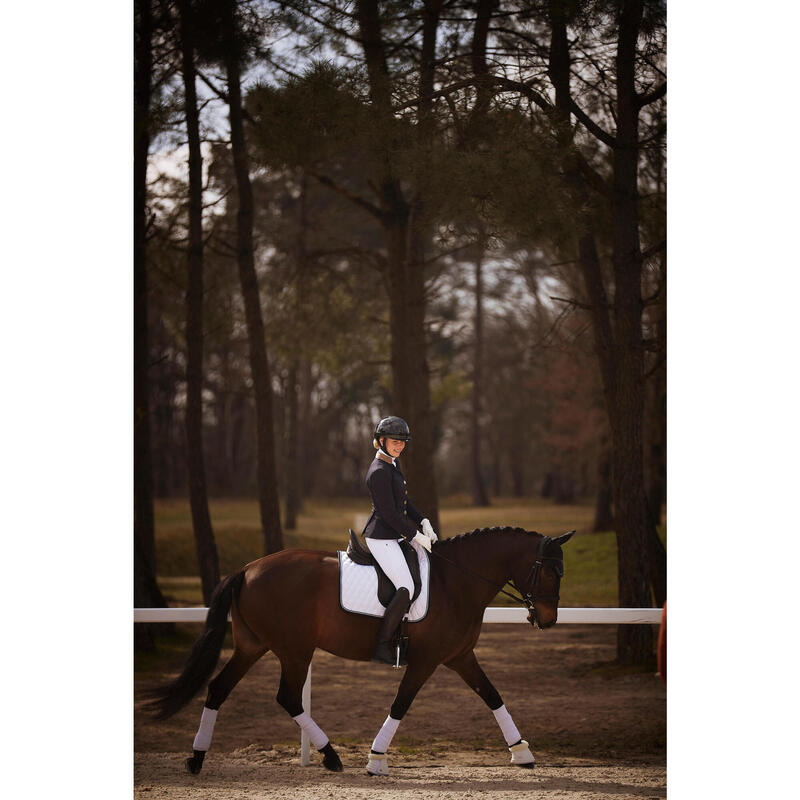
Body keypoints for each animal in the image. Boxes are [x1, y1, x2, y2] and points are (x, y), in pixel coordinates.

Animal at [148, 524, 576, 776]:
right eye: (551, 571)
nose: (548, 619)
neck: (456, 582)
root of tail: (248, 568)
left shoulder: (459, 657)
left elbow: (493, 696)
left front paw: (521, 753)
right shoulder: (426, 660)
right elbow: (401, 703)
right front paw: (376, 759)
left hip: (254, 646)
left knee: (219, 688)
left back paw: (197, 758)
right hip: (294, 650)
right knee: (287, 697)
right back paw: (330, 756)